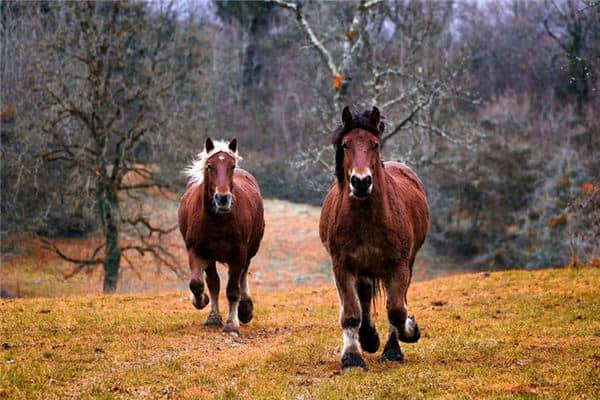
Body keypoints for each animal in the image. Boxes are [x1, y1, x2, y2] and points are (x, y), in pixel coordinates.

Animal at [177, 138, 264, 334]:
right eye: (210, 166)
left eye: (232, 166)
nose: (223, 199)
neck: (218, 222)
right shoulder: (198, 252)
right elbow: (198, 283)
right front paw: (203, 303)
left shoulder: (238, 254)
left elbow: (232, 290)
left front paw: (232, 324)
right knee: (213, 282)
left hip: (249, 251)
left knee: (243, 275)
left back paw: (245, 309)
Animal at [322, 105, 428, 368]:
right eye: (346, 144)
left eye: (375, 144)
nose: (361, 182)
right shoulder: (342, 266)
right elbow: (351, 313)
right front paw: (352, 357)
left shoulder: (398, 265)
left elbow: (397, 310)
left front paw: (408, 334)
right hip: (364, 269)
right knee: (365, 297)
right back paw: (368, 337)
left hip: (406, 264)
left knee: (395, 301)